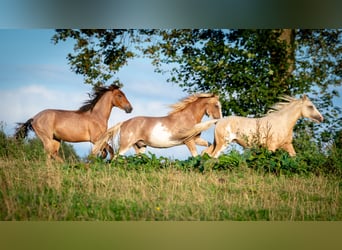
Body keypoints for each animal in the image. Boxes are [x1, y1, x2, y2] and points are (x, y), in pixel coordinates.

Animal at [92, 93, 223, 157]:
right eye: (216, 105)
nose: (220, 120)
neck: (188, 117)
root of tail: (124, 123)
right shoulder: (188, 141)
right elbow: (195, 156)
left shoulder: (196, 139)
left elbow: (209, 144)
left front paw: (208, 153)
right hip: (126, 145)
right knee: (116, 158)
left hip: (140, 146)